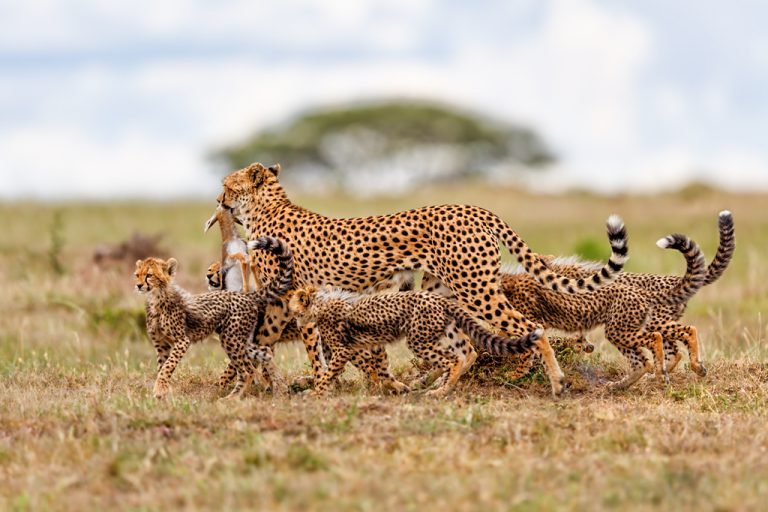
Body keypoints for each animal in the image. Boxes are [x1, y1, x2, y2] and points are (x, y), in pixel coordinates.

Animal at [135, 236, 293, 399]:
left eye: (149, 275)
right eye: (137, 275)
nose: (139, 285)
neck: (155, 298)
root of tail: (245, 295)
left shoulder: (182, 340)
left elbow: (168, 365)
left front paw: (159, 389)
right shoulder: (161, 344)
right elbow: (162, 366)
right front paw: (162, 391)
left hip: (230, 338)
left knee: (247, 371)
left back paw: (232, 398)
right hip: (240, 339)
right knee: (265, 352)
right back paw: (280, 385)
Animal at [288, 286, 543, 397]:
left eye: (293, 307)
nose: (294, 320)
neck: (319, 305)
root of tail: (437, 297)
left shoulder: (344, 350)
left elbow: (328, 374)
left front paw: (315, 393)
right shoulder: (374, 343)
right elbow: (381, 369)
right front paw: (397, 387)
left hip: (417, 339)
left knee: (453, 360)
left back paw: (441, 389)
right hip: (446, 331)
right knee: (469, 351)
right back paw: (444, 384)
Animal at [497, 228, 708, 390]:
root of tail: (642, 292)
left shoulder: (534, 321)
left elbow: (526, 350)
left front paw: (514, 374)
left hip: (623, 328)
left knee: (674, 335)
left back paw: (679, 369)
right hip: (624, 328)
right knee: (645, 360)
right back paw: (624, 384)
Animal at [542, 210, 734, 377]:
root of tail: (675, 279)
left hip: (654, 322)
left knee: (686, 333)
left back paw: (689, 367)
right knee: (674, 351)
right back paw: (658, 374)